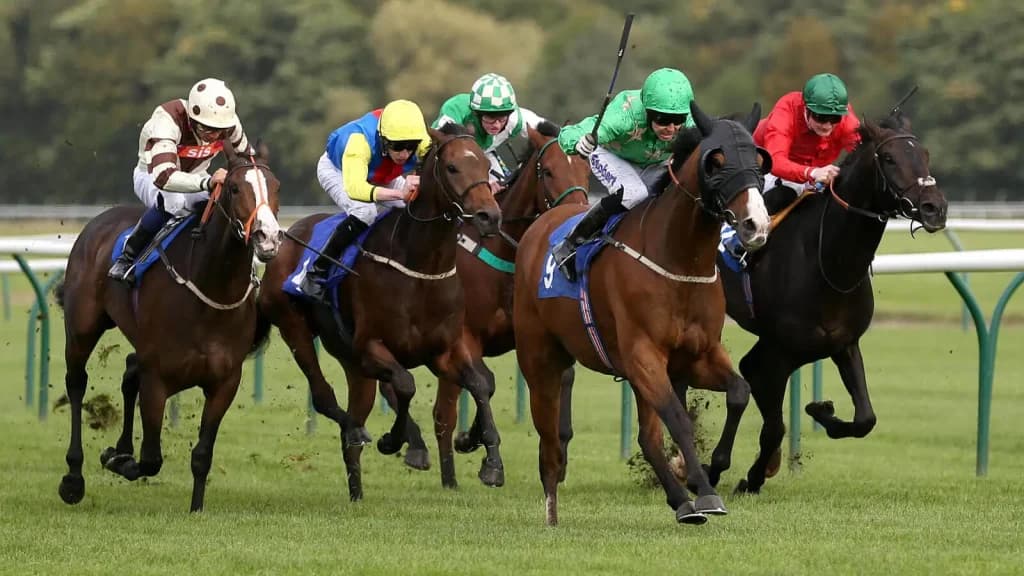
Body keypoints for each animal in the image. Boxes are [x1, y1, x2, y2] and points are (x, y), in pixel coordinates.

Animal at [56, 140, 283, 512]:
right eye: (235, 188)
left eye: (276, 187)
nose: (268, 238)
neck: (209, 290)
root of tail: (98, 222)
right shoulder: (158, 379)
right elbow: (150, 459)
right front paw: (118, 460)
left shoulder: (224, 382)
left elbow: (202, 454)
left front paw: (196, 508)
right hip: (82, 328)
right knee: (76, 383)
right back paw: (73, 478)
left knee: (129, 370)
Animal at [256, 123, 502, 502]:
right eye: (452, 168)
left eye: (487, 167)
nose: (490, 216)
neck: (420, 266)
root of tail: (287, 235)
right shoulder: (372, 347)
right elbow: (406, 384)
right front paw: (395, 440)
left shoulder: (444, 350)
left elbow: (479, 385)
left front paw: (491, 463)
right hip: (296, 329)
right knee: (327, 399)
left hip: (351, 362)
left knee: (355, 422)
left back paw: (357, 490)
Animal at [513, 101, 772, 526]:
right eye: (716, 162)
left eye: (757, 160)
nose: (756, 225)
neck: (677, 258)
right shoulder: (644, 355)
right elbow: (678, 419)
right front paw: (706, 491)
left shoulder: (697, 355)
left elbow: (739, 392)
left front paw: (709, 471)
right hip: (540, 360)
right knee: (549, 437)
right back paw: (551, 510)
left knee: (647, 438)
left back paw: (680, 501)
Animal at [715, 112, 948, 494]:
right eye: (889, 158)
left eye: (925, 154)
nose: (935, 208)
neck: (825, 259)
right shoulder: (780, 351)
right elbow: (772, 423)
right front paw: (748, 477)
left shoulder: (843, 343)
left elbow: (866, 418)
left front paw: (821, 411)